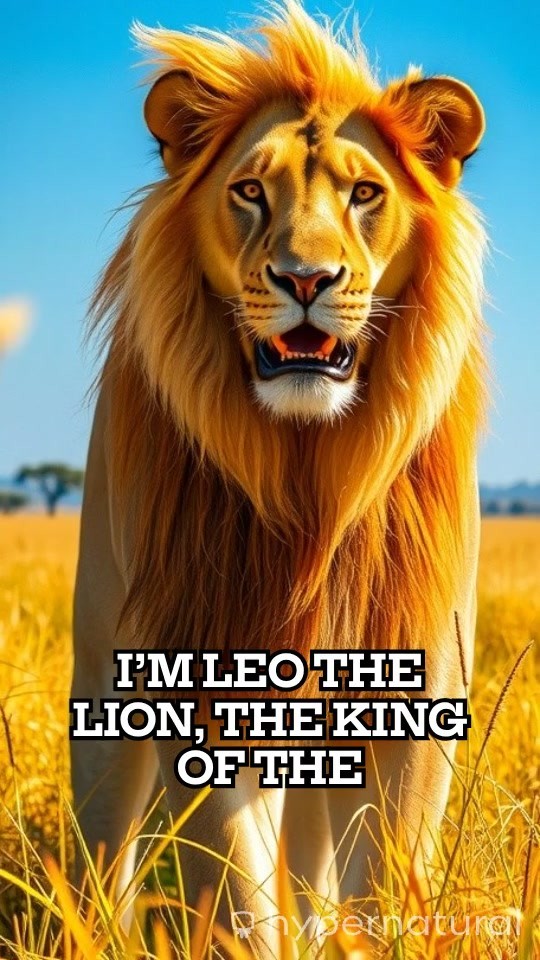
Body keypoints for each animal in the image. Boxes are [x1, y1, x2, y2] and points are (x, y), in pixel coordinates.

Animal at [71, 1, 486, 949]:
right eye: (250, 191)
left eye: (364, 193)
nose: (306, 279)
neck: (310, 471)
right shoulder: (197, 665)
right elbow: (235, 888)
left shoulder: (419, 673)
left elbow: (384, 877)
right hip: (100, 659)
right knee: (105, 842)